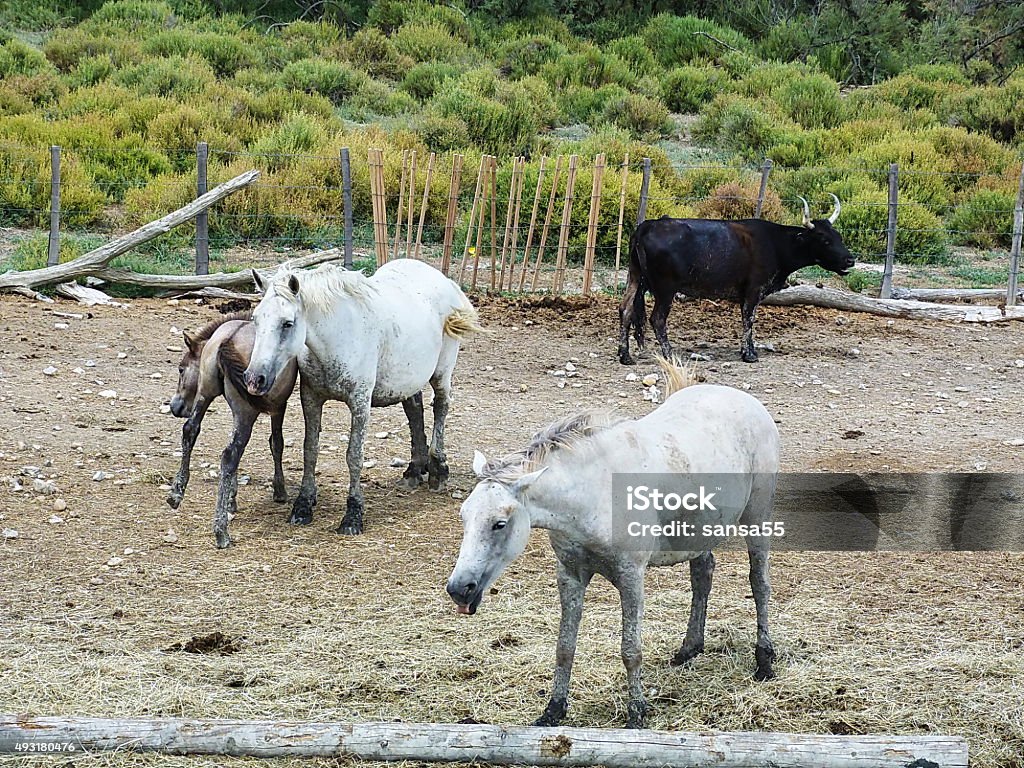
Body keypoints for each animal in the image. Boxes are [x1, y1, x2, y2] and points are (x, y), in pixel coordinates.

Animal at [242, 259, 479, 536]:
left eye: (287, 323)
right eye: (256, 319)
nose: (254, 379)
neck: (338, 335)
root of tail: (445, 281)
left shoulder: (360, 403)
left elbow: (354, 456)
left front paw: (353, 515)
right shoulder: (311, 398)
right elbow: (310, 450)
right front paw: (303, 505)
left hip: (442, 372)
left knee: (441, 406)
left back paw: (438, 470)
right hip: (408, 378)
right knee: (414, 410)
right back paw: (414, 470)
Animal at [446, 364, 774, 729]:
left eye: (500, 523)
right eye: (463, 515)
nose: (459, 588)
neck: (593, 492)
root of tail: (747, 402)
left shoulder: (631, 576)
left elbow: (631, 650)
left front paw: (637, 713)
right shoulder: (570, 574)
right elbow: (564, 646)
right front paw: (553, 710)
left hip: (758, 519)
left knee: (759, 584)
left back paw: (764, 660)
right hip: (699, 532)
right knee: (703, 576)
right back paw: (689, 648)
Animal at [614, 201, 856, 366]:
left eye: (839, 236)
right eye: (825, 239)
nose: (850, 259)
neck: (775, 243)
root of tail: (647, 226)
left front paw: (748, 350)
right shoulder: (754, 289)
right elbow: (749, 319)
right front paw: (749, 354)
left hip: (635, 277)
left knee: (625, 309)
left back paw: (625, 355)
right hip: (665, 288)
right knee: (657, 319)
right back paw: (670, 354)